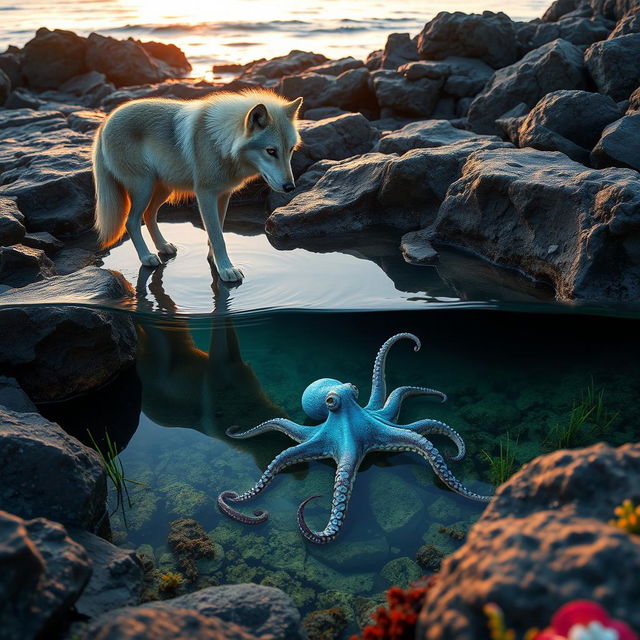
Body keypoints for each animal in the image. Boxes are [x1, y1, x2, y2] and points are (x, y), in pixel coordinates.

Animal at [92, 89, 304, 280]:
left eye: (290, 149)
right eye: (271, 151)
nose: (290, 187)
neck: (220, 141)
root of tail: (105, 122)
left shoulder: (223, 195)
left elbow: (216, 232)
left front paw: (215, 262)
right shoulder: (205, 195)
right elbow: (218, 237)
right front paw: (227, 270)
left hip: (163, 190)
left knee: (148, 215)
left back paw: (163, 247)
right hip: (144, 188)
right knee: (131, 221)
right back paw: (146, 257)